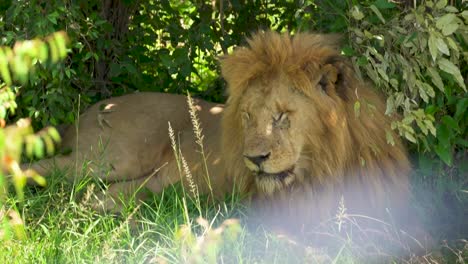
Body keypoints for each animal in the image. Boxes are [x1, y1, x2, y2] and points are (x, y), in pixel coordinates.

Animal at [24, 29, 416, 240]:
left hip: (145, 181)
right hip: (110, 158)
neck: (329, 164)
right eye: (247, 116)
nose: (254, 159)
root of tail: (96, 107)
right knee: (43, 168)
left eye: (282, 116)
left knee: (99, 196)